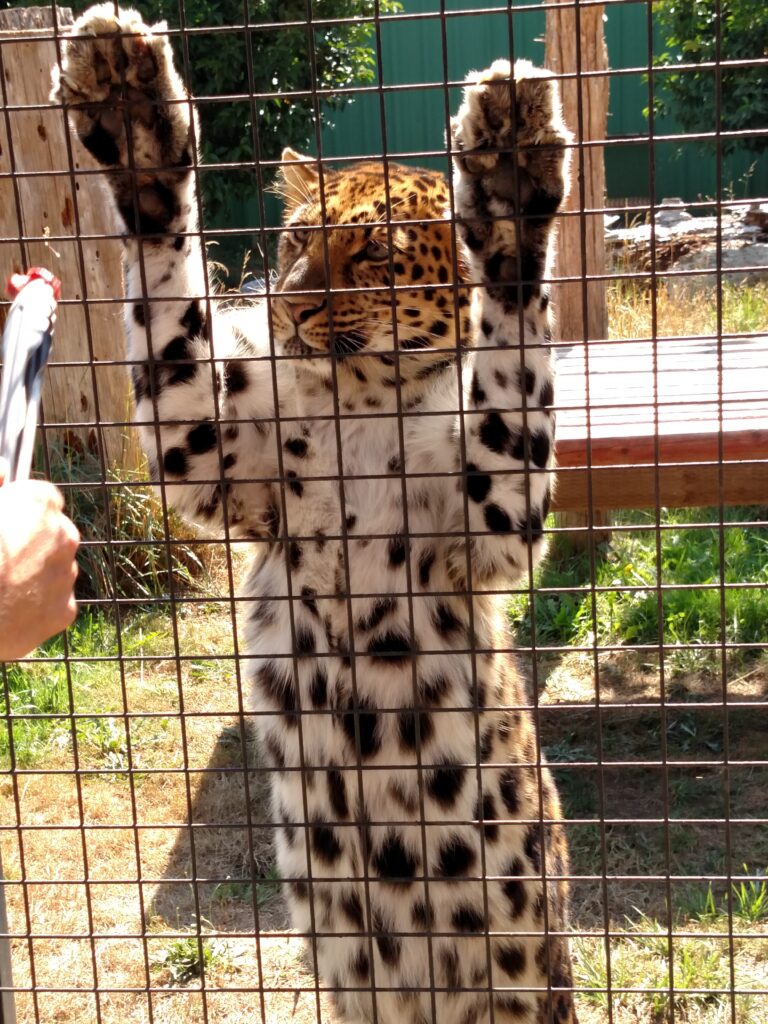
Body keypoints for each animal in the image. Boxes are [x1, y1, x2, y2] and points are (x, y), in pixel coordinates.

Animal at [54, 6, 581, 1015]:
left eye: (374, 253)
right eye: (297, 240)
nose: (290, 310)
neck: (360, 405)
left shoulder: (490, 520)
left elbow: (510, 336)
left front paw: (505, 182)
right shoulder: (206, 454)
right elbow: (166, 293)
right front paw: (136, 116)